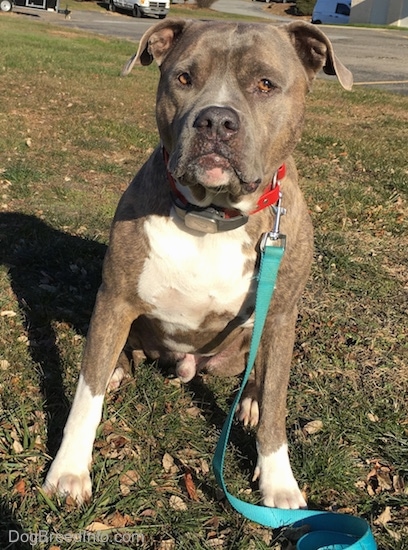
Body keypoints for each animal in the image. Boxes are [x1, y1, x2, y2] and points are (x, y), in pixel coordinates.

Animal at [43, 18, 352, 512]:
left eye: (265, 84)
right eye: (184, 78)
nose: (216, 120)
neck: (213, 216)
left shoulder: (281, 315)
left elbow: (277, 404)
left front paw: (278, 482)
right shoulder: (114, 299)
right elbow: (86, 395)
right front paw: (69, 471)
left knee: (257, 376)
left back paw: (249, 402)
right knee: (116, 356)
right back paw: (118, 368)